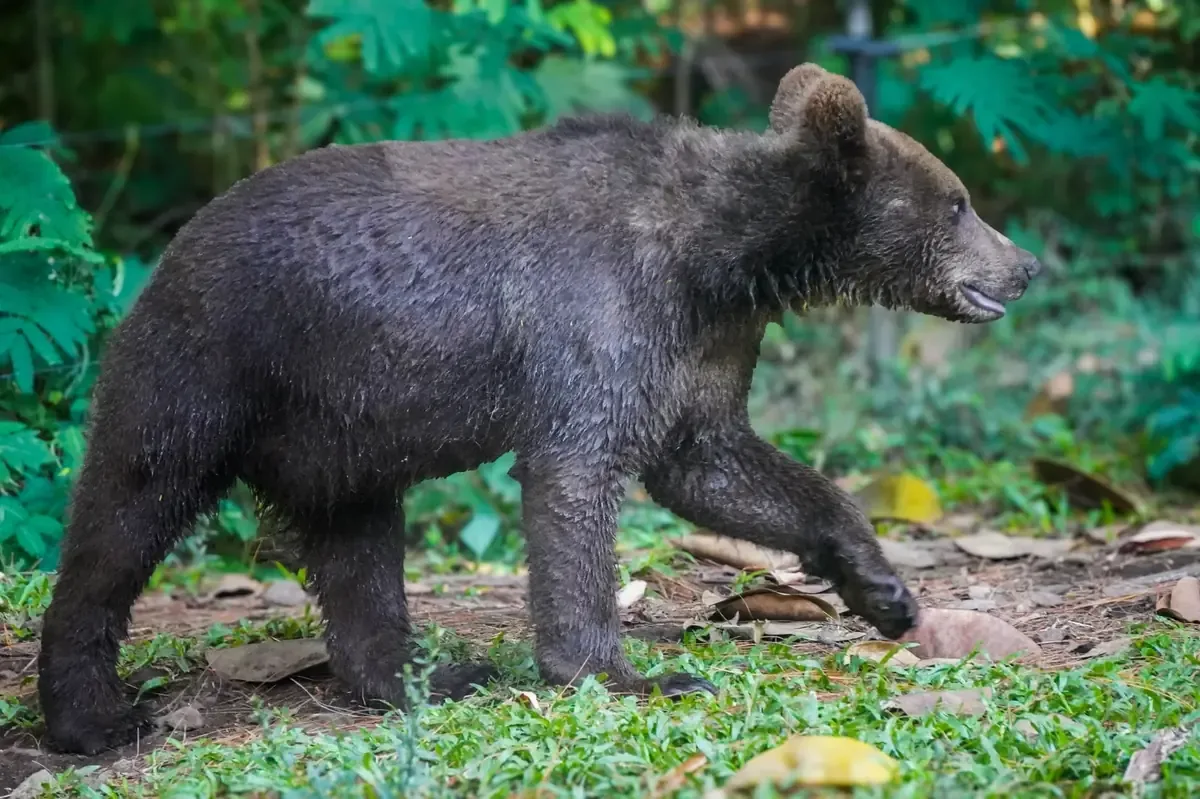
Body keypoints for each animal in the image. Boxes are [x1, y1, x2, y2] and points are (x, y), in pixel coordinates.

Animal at [36, 62, 1041, 755]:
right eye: (958, 202)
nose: (1025, 262)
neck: (718, 259)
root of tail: (163, 254)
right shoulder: (594, 322)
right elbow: (575, 483)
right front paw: (631, 671)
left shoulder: (701, 350)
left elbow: (718, 465)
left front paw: (884, 589)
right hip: (208, 369)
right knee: (123, 513)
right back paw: (91, 715)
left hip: (343, 431)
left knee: (358, 553)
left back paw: (428, 672)